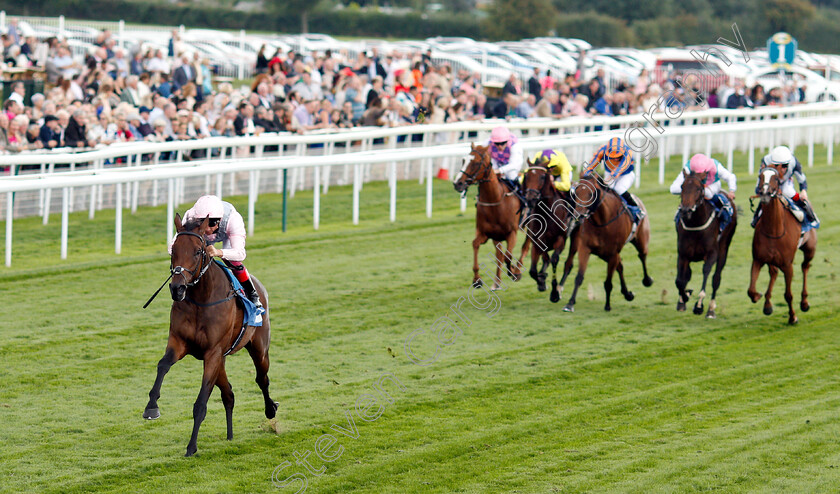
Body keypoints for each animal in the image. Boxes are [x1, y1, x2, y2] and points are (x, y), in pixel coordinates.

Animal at [143, 214, 278, 458]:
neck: (201, 299)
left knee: (261, 379)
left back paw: (271, 410)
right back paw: (230, 435)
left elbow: (201, 403)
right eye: (173, 249)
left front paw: (191, 446)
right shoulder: (179, 343)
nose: (177, 288)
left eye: (198, 251)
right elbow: (162, 365)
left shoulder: (212, 353)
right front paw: (151, 407)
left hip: (259, 348)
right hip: (222, 361)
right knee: (229, 394)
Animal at [452, 143, 532, 290]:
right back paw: (497, 282)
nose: (457, 183)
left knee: (525, 246)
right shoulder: (486, 233)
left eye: (476, 163)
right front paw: (477, 279)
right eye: (463, 160)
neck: (495, 201)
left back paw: (517, 270)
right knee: (499, 255)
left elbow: (508, 255)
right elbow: (476, 244)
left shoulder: (512, 233)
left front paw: (513, 272)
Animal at [520, 160, 580, 302]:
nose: (530, 198)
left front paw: (554, 292)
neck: (546, 213)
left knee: (568, 264)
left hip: (576, 236)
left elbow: (554, 260)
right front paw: (542, 281)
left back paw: (559, 288)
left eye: (542, 177)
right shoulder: (536, 241)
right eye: (527, 176)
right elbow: (533, 270)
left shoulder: (560, 240)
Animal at [560, 175, 652, 312]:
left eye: (591, 193)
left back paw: (647, 280)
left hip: (640, 240)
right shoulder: (585, 249)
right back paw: (627, 294)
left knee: (642, 256)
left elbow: (608, 282)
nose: (578, 215)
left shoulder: (613, 254)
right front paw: (570, 303)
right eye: (576, 192)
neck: (602, 221)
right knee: (621, 266)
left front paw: (607, 305)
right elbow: (579, 277)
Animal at [748, 168, 812, 326]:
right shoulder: (758, 259)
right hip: (771, 260)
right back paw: (767, 305)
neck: (774, 229)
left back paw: (804, 302)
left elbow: (788, 295)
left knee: (805, 267)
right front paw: (758, 296)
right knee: (774, 273)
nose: (765, 194)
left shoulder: (787, 265)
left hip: (810, 248)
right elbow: (751, 290)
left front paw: (792, 317)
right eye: (760, 176)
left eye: (776, 179)